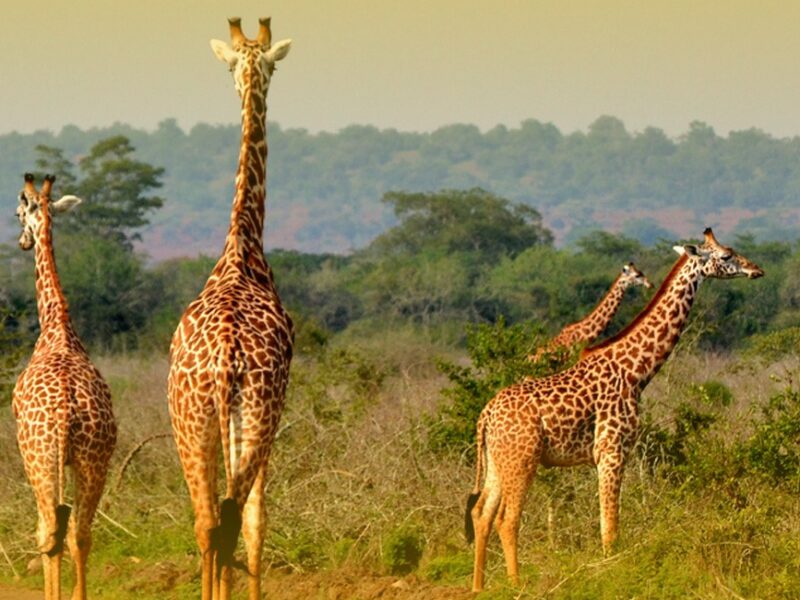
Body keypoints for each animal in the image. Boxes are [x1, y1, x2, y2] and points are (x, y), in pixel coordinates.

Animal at [466, 229, 764, 592]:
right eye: (725, 256)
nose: (756, 270)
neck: (636, 371)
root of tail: (485, 416)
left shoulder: (612, 452)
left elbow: (607, 523)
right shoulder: (611, 449)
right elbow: (610, 527)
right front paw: (610, 576)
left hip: (498, 460)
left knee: (481, 513)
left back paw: (478, 587)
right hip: (522, 459)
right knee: (507, 520)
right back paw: (516, 585)